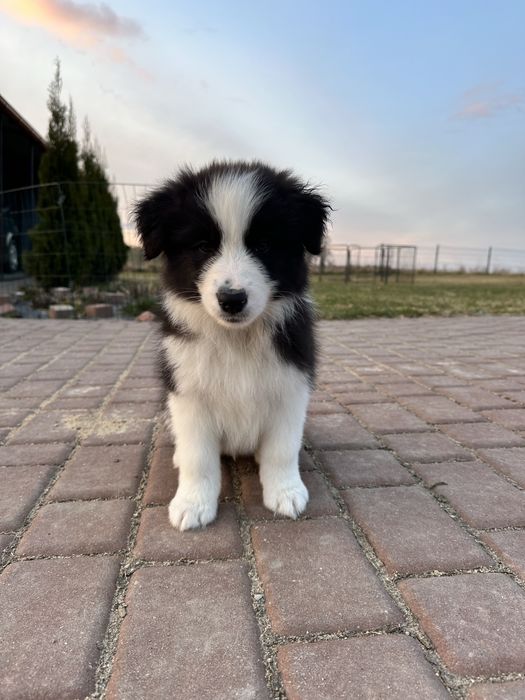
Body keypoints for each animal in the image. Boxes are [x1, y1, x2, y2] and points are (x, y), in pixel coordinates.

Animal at [134, 161, 329, 530]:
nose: (232, 299)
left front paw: (285, 492)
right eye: (202, 246)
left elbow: (282, 449)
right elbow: (198, 457)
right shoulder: (188, 394)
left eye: (264, 244)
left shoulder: (290, 387)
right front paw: (192, 503)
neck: (237, 339)